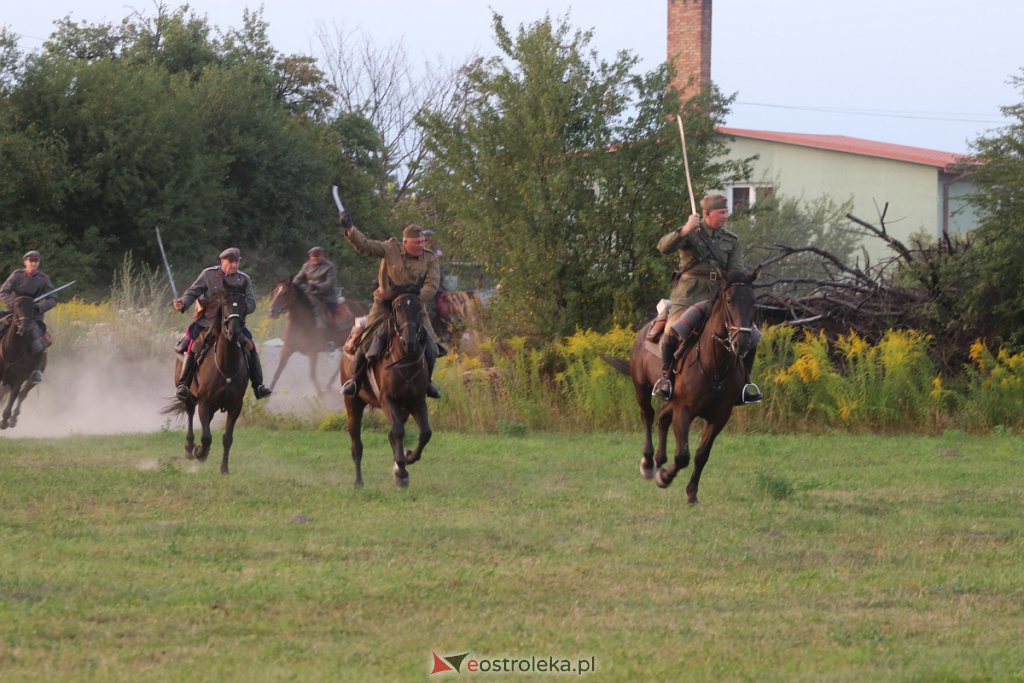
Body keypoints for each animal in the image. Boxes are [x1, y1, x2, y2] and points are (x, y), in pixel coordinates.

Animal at [0, 296, 43, 430]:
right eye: (16, 306)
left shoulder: (17, 380)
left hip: (31, 380)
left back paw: (13, 419)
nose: (25, 328)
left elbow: (14, 396)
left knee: (22, 394)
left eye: (33, 308)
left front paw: (4, 421)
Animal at [166, 288, 250, 475]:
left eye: (244, 306)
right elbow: (206, 437)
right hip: (189, 396)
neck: (226, 365)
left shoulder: (235, 406)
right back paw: (190, 447)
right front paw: (199, 452)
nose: (234, 332)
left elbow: (227, 438)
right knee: (190, 413)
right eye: (225, 305)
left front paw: (224, 468)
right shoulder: (205, 403)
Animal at [337, 280, 430, 489]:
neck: (404, 360)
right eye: (398, 307)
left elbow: (425, 433)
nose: (410, 341)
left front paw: (407, 459)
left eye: (419, 306)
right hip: (353, 404)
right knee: (357, 444)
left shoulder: (417, 401)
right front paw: (402, 470)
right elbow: (398, 431)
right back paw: (359, 482)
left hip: (403, 409)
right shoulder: (388, 400)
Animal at [602, 270, 757, 501]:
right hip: (642, 387)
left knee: (662, 417)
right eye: (729, 300)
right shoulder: (684, 409)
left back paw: (659, 459)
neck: (715, 368)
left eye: (753, 301)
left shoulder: (719, 417)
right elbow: (683, 455)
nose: (742, 343)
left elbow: (702, 454)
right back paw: (648, 464)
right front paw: (664, 477)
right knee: (648, 415)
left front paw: (691, 492)